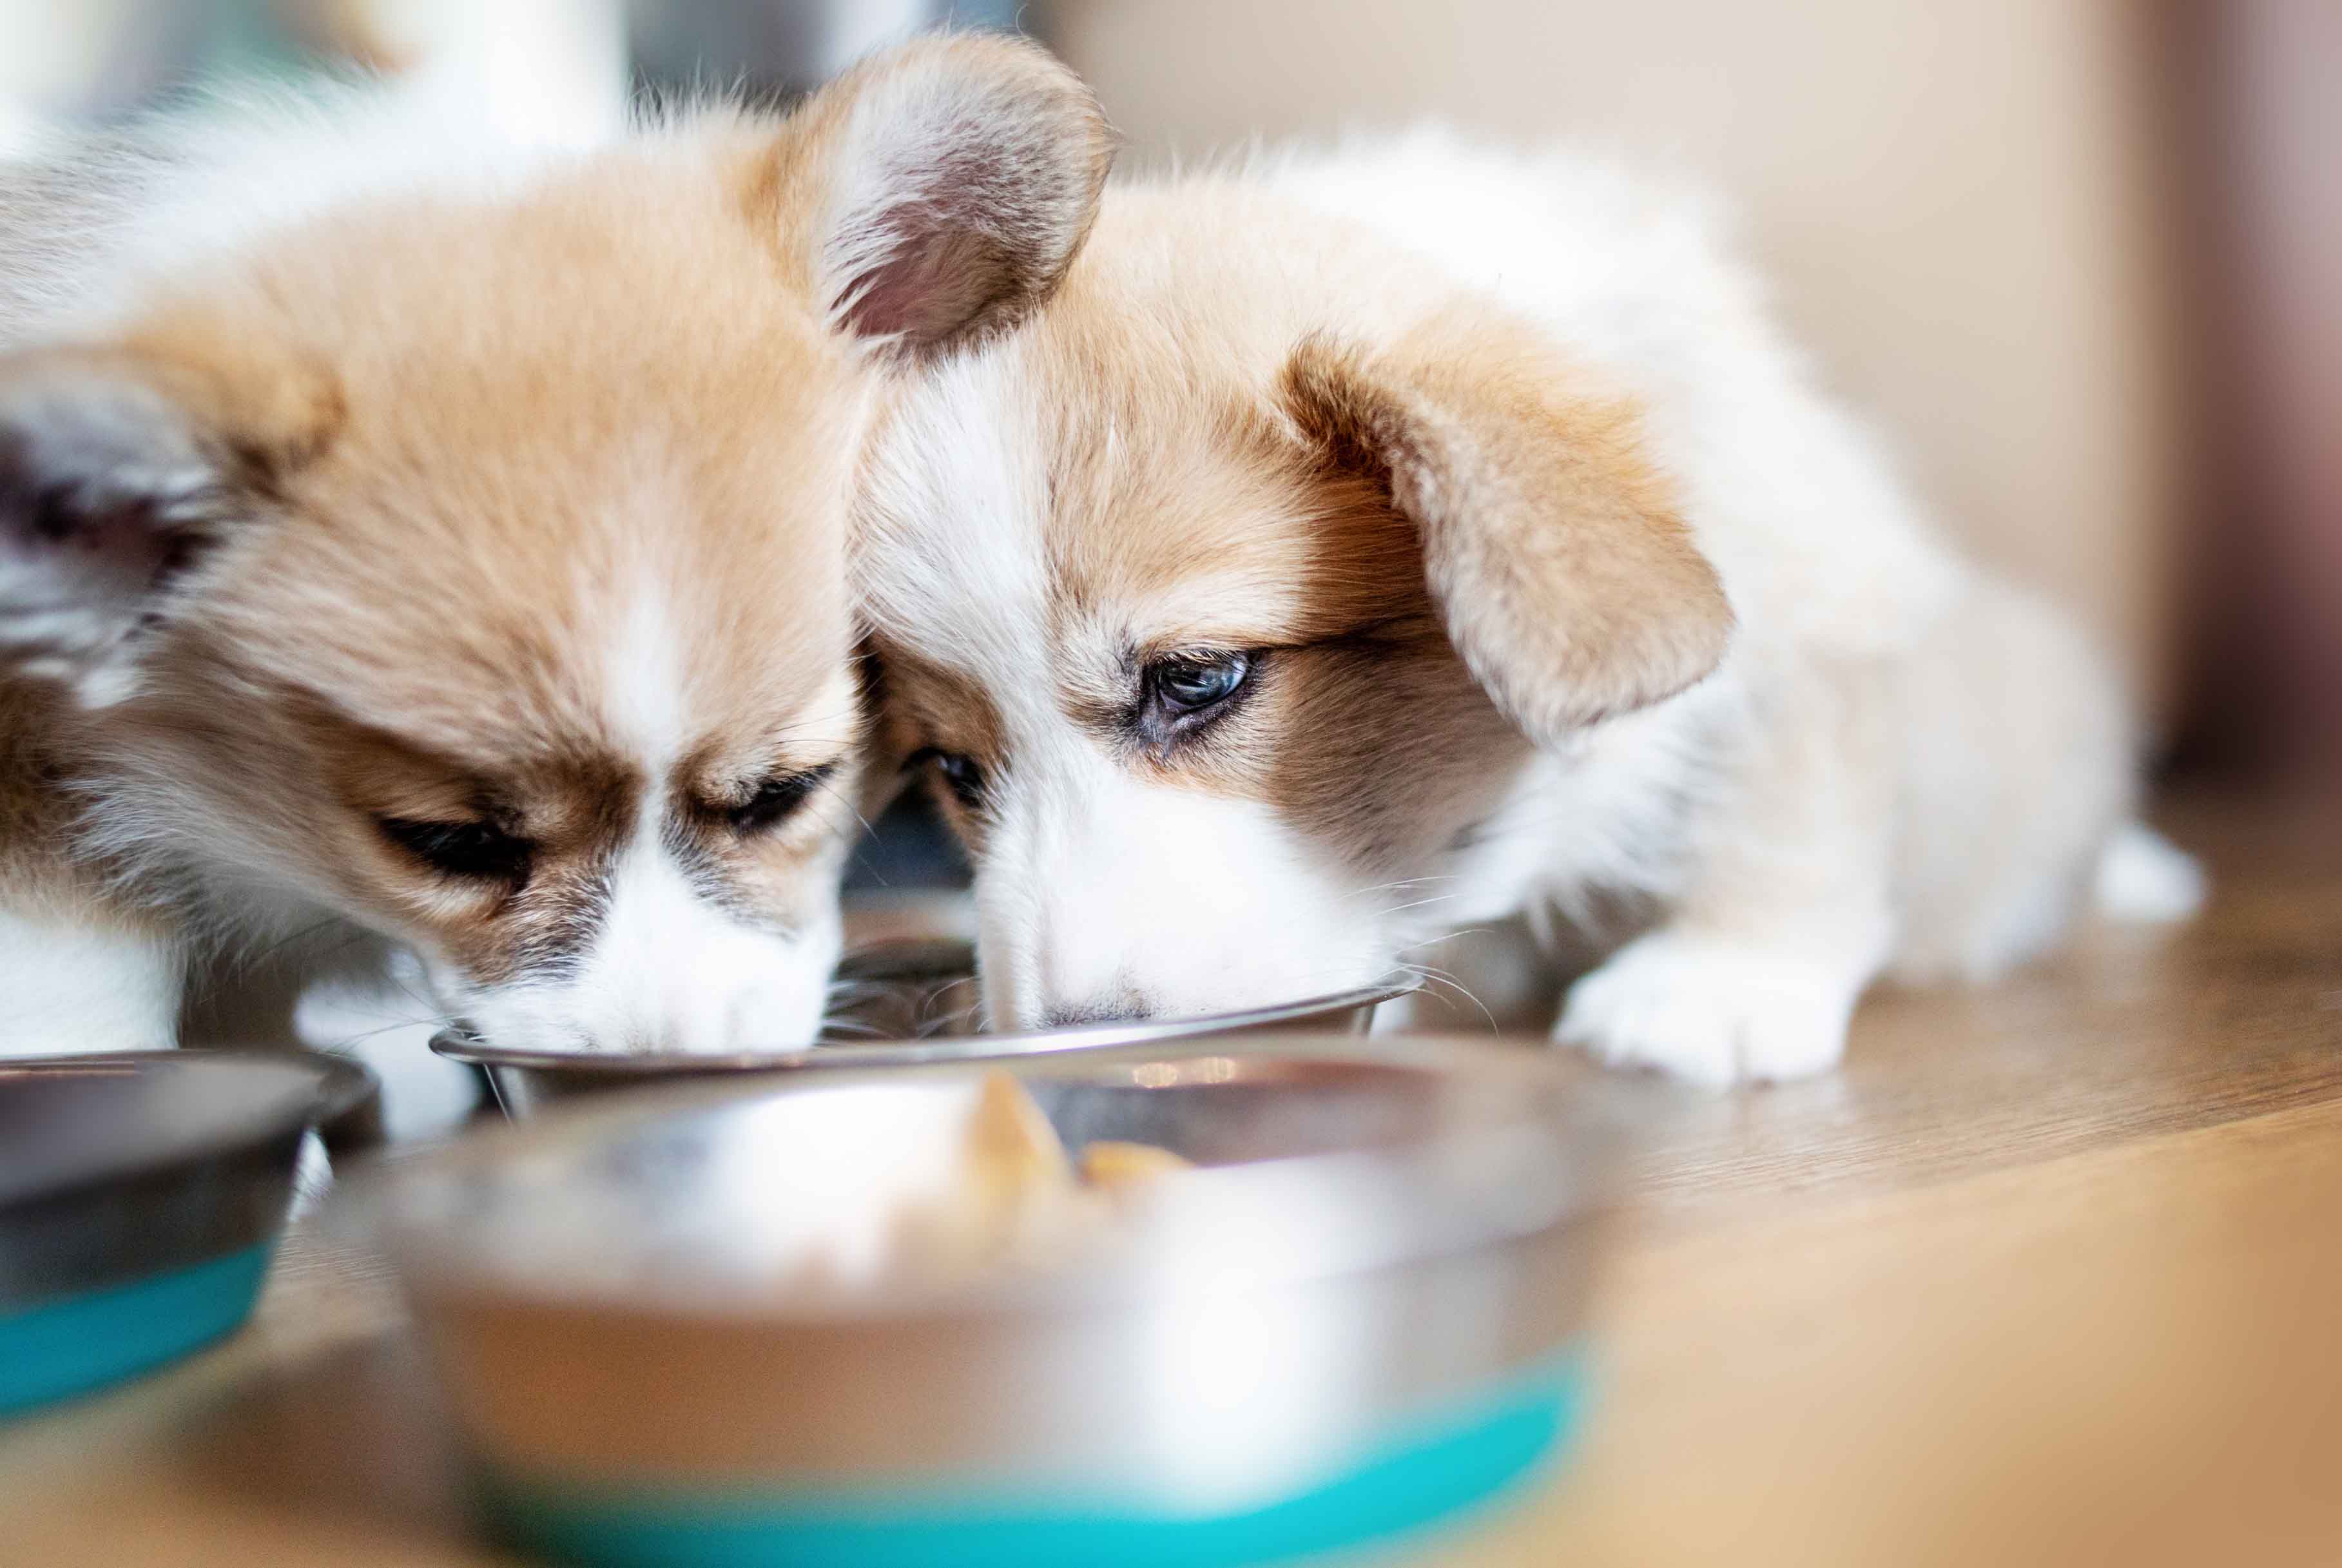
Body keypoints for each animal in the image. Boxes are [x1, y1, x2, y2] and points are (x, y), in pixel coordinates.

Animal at [857, 135, 2192, 1085]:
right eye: (955, 772)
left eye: (1196, 679)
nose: (1073, 1028)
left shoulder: (1809, 609)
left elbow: (1778, 807)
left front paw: (1715, 987)